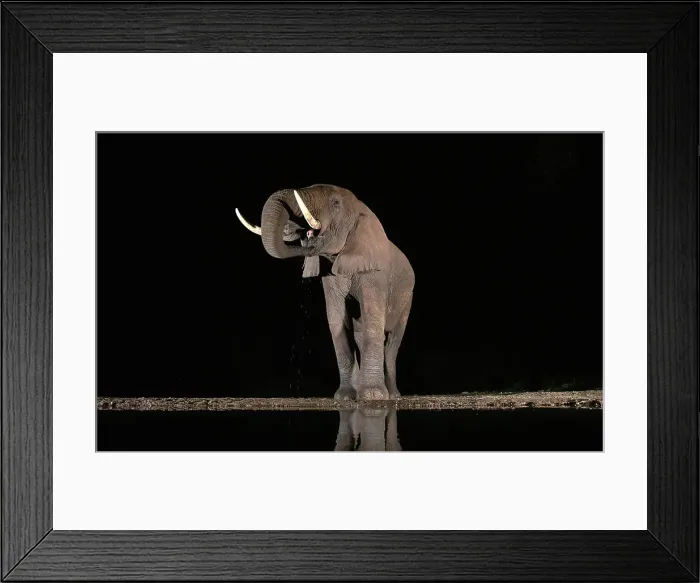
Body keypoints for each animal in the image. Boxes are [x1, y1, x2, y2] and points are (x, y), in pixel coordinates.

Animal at [236, 184, 414, 401]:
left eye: (336, 203)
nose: (305, 234)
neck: (362, 209)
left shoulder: (375, 272)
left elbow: (373, 321)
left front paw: (372, 397)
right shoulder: (331, 276)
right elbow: (337, 320)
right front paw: (345, 397)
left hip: (407, 298)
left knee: (393, 341)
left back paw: (393, 396)